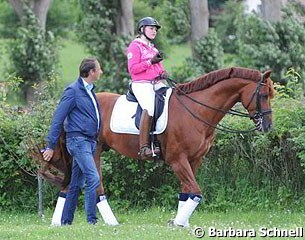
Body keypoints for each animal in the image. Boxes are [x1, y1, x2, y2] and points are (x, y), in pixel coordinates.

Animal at [35, 67, 274, 227]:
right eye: (263, 95)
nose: (268, 126)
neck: (195, 110)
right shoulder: (178, 160)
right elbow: (195, 191)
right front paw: (179, 222)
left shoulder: (194, 160)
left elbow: (186, 192)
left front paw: (179, 222)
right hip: (92, 152)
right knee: (97, 185)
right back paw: (111, 221)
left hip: (83, 154)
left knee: (71, 184)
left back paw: (59, 221)